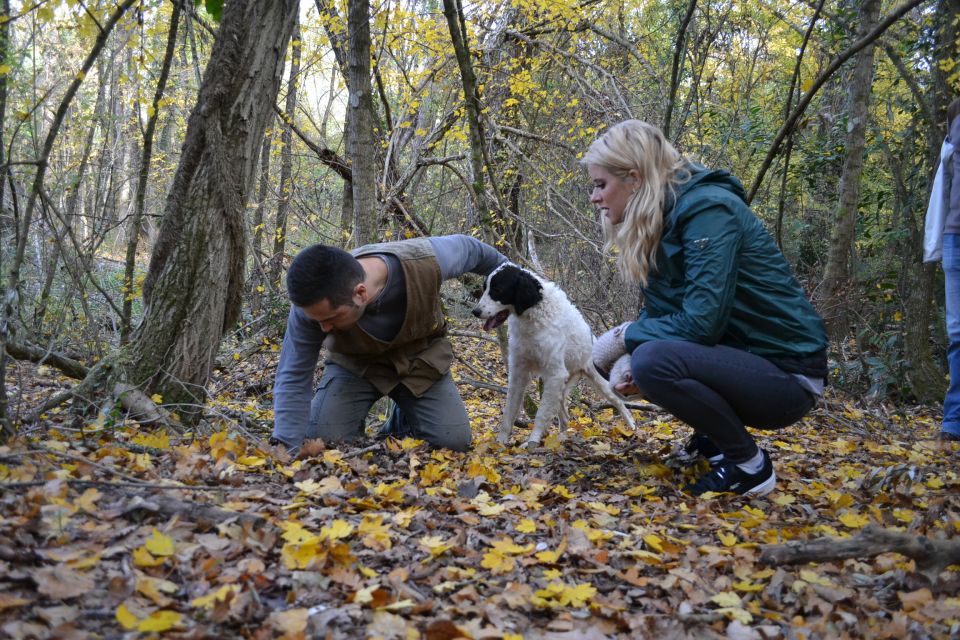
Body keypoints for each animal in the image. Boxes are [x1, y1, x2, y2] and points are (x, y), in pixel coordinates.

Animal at [472, 262, 636, 448]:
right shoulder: (519, 372)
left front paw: (532, 442)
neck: (532, 316)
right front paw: (500, 442)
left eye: (498, 290)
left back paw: (632, 429)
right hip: (558, 387)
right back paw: (561, 438)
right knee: (564, 416)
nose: (475, 311)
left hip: (596, 383)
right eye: (485, 288)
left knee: (621, 405)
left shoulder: (555, 373)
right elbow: (509, 412)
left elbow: (541, 414)